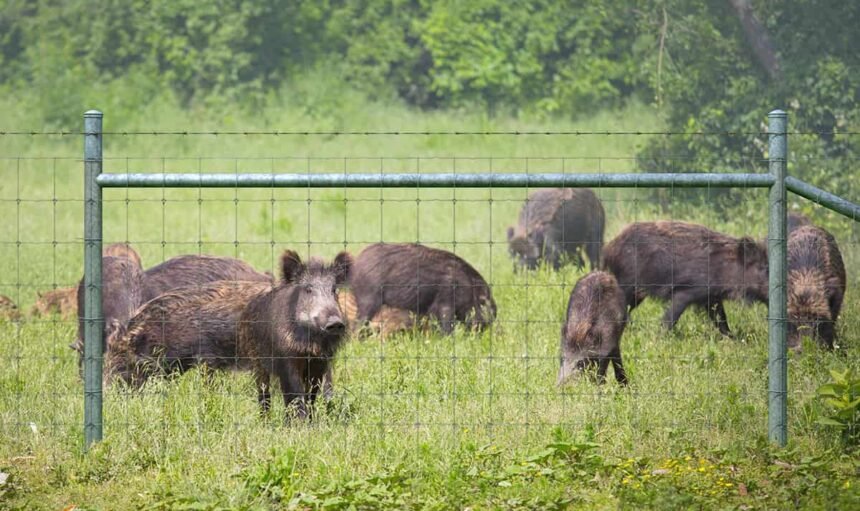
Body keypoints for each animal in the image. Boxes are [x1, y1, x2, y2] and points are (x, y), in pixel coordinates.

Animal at [238, 250, 352, 419]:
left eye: (334, 290)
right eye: (308, 289)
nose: (335, 322)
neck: (310, 345)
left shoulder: (319, 364)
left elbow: (311, 395)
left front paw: (310, 421)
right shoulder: (286, 360)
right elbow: (295, 394)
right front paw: (299, 422)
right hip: (256, 359)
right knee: (264, 392)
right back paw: (265, 419)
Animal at [348, 243, 496, 334]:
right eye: (483, 303)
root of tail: (356, 264)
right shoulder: (445, 303)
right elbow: (447, 326)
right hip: (368, 300)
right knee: (356, 326)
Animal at [602, 221, 769, 336]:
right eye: (763, 268)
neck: (725, 267)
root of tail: (609, 248)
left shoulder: (712, 298)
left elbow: (721, 318)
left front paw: (731, 337)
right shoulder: (686, 291)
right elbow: (671, 317)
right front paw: (660, 337)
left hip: (637, 293)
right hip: (627, 283)